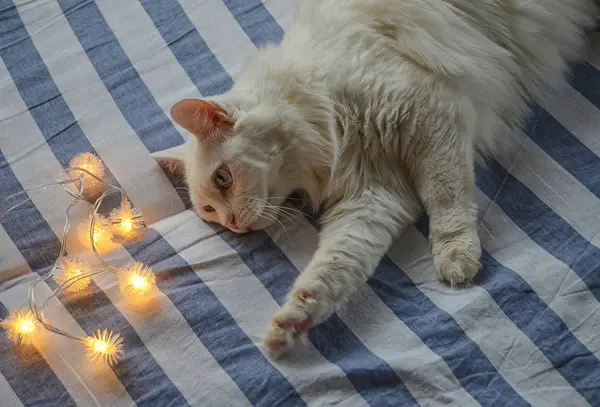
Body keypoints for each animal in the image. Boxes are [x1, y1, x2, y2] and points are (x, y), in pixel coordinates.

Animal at [154, 0, 596, 356]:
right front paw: (291, 324)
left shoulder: (431, 116)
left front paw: (455, 257)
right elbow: (333, 270)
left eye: (223, 178)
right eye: (209, 210)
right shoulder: (373, 198)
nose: (231, 225)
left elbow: (447, 199)